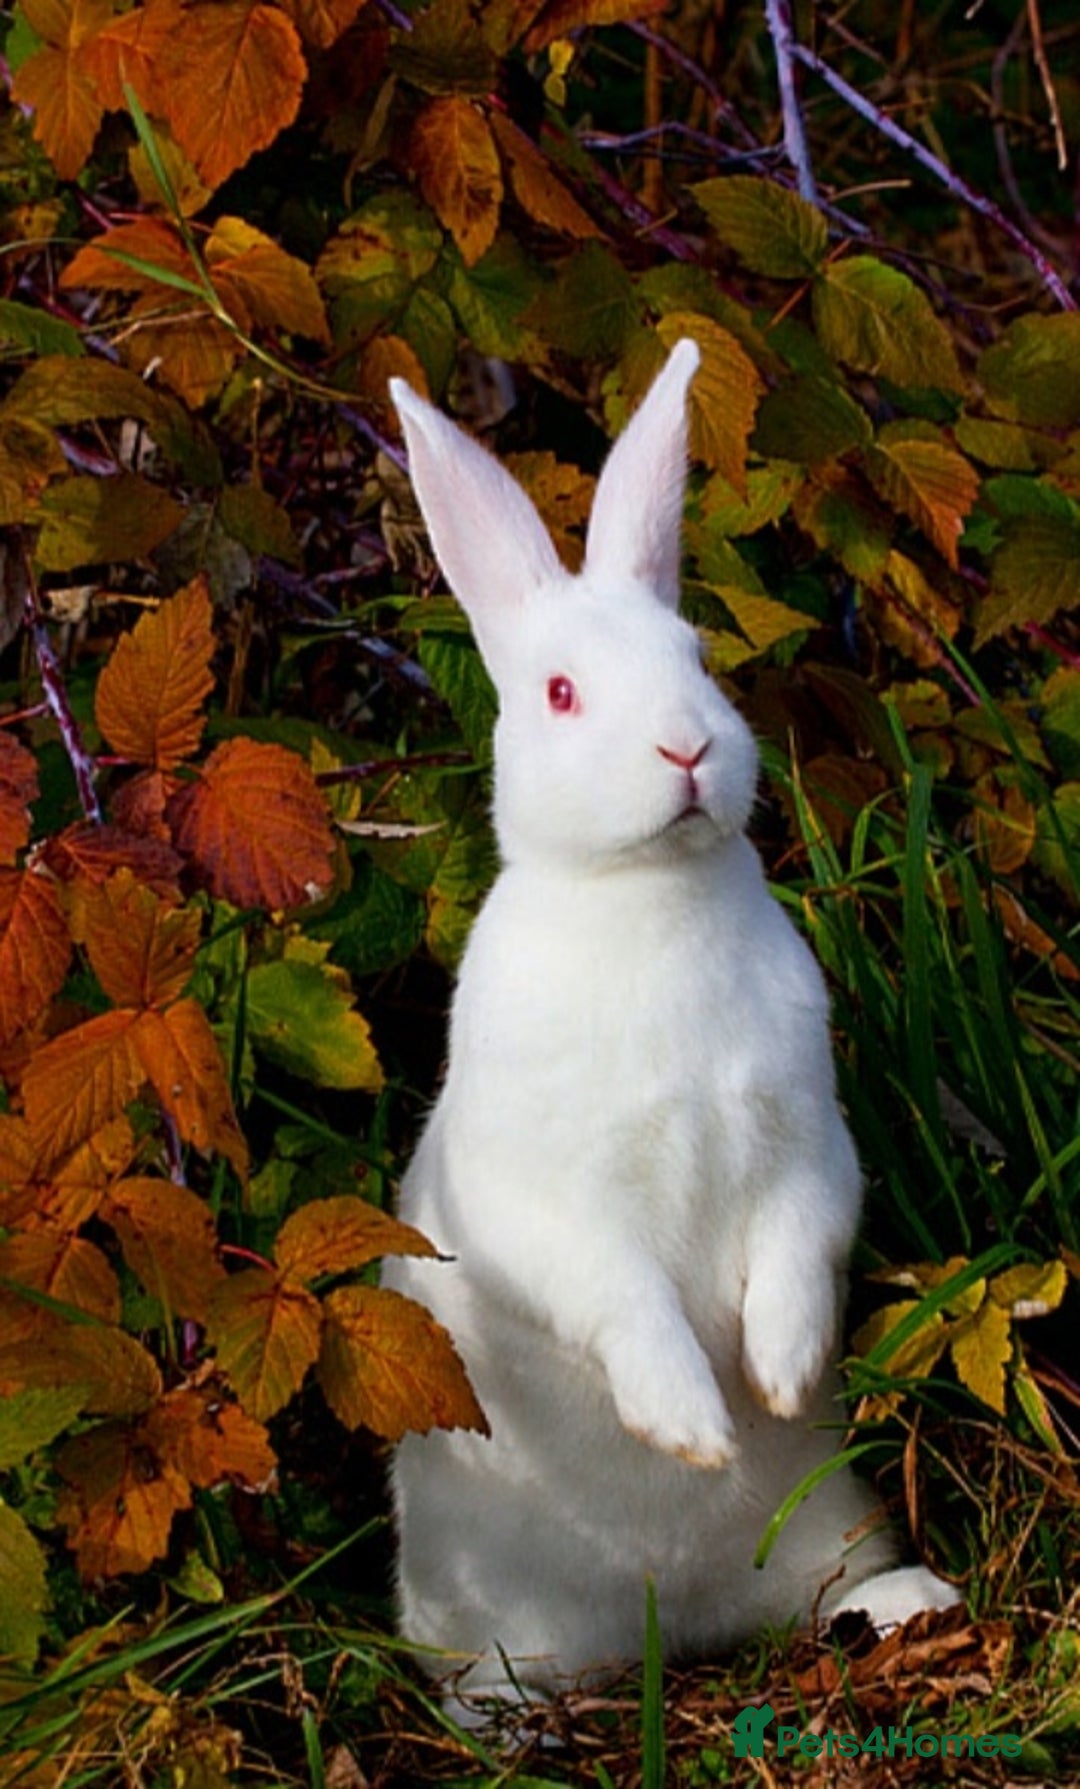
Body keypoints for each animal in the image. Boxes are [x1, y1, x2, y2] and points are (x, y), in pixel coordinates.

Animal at [383, 338, 958, 1711]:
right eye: (559, 693)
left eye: (698, 656)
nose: (687, 748)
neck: (649, 896)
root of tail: (680, 1624)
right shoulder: (549, 1204)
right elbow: (618, 1295)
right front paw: (693, 1425)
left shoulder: (809, 1147)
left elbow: (799, 1244)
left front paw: (782, 1373)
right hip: (499, 1618)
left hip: (834, 1518)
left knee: (830, 1590)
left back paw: (910, 1601)